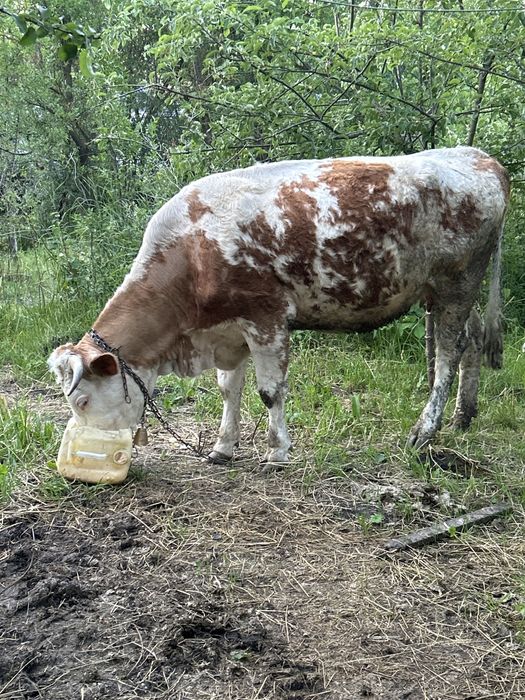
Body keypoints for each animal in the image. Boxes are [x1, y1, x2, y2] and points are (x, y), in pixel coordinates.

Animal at [48, 146, 509, 463]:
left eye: (82, 401)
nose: (92, 449)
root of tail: (478, 157)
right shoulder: (227, 331)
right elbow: (228, 389)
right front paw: (223, 447)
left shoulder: (266, 318)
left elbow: (269, 392)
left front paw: (277, 451)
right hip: (447, 291)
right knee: (470, 340)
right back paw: (463, 415)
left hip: (457, 283)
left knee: (448, 353)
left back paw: (426, 430)